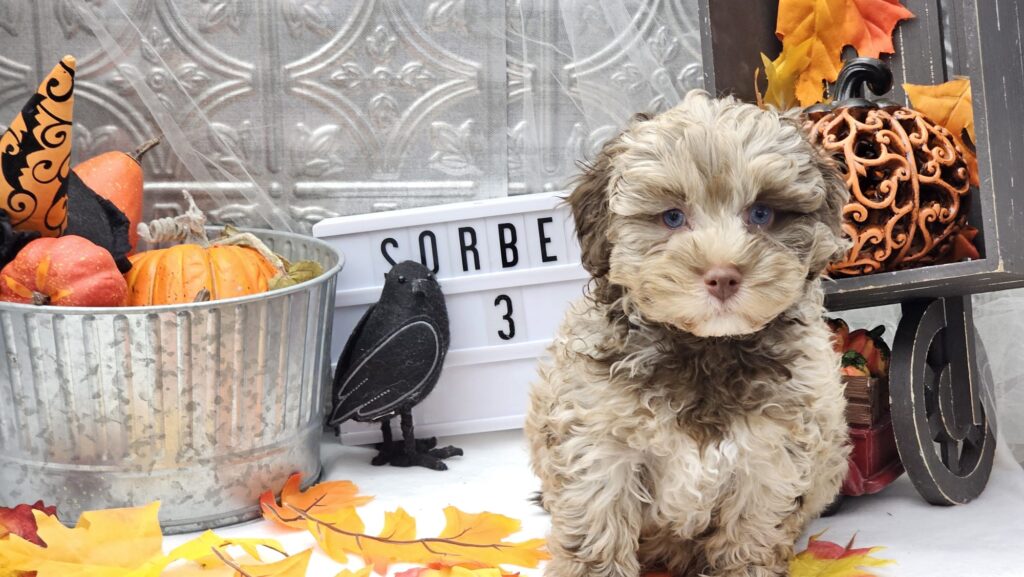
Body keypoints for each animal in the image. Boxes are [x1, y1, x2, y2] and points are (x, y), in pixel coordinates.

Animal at [524, 91, 851, 577]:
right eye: (673, 217)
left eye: (762, 213)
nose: (723, 277)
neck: (705, 350)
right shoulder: (600, 442)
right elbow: (599, 517)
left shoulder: (770, 453)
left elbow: (753, 527)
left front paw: (747, 569)